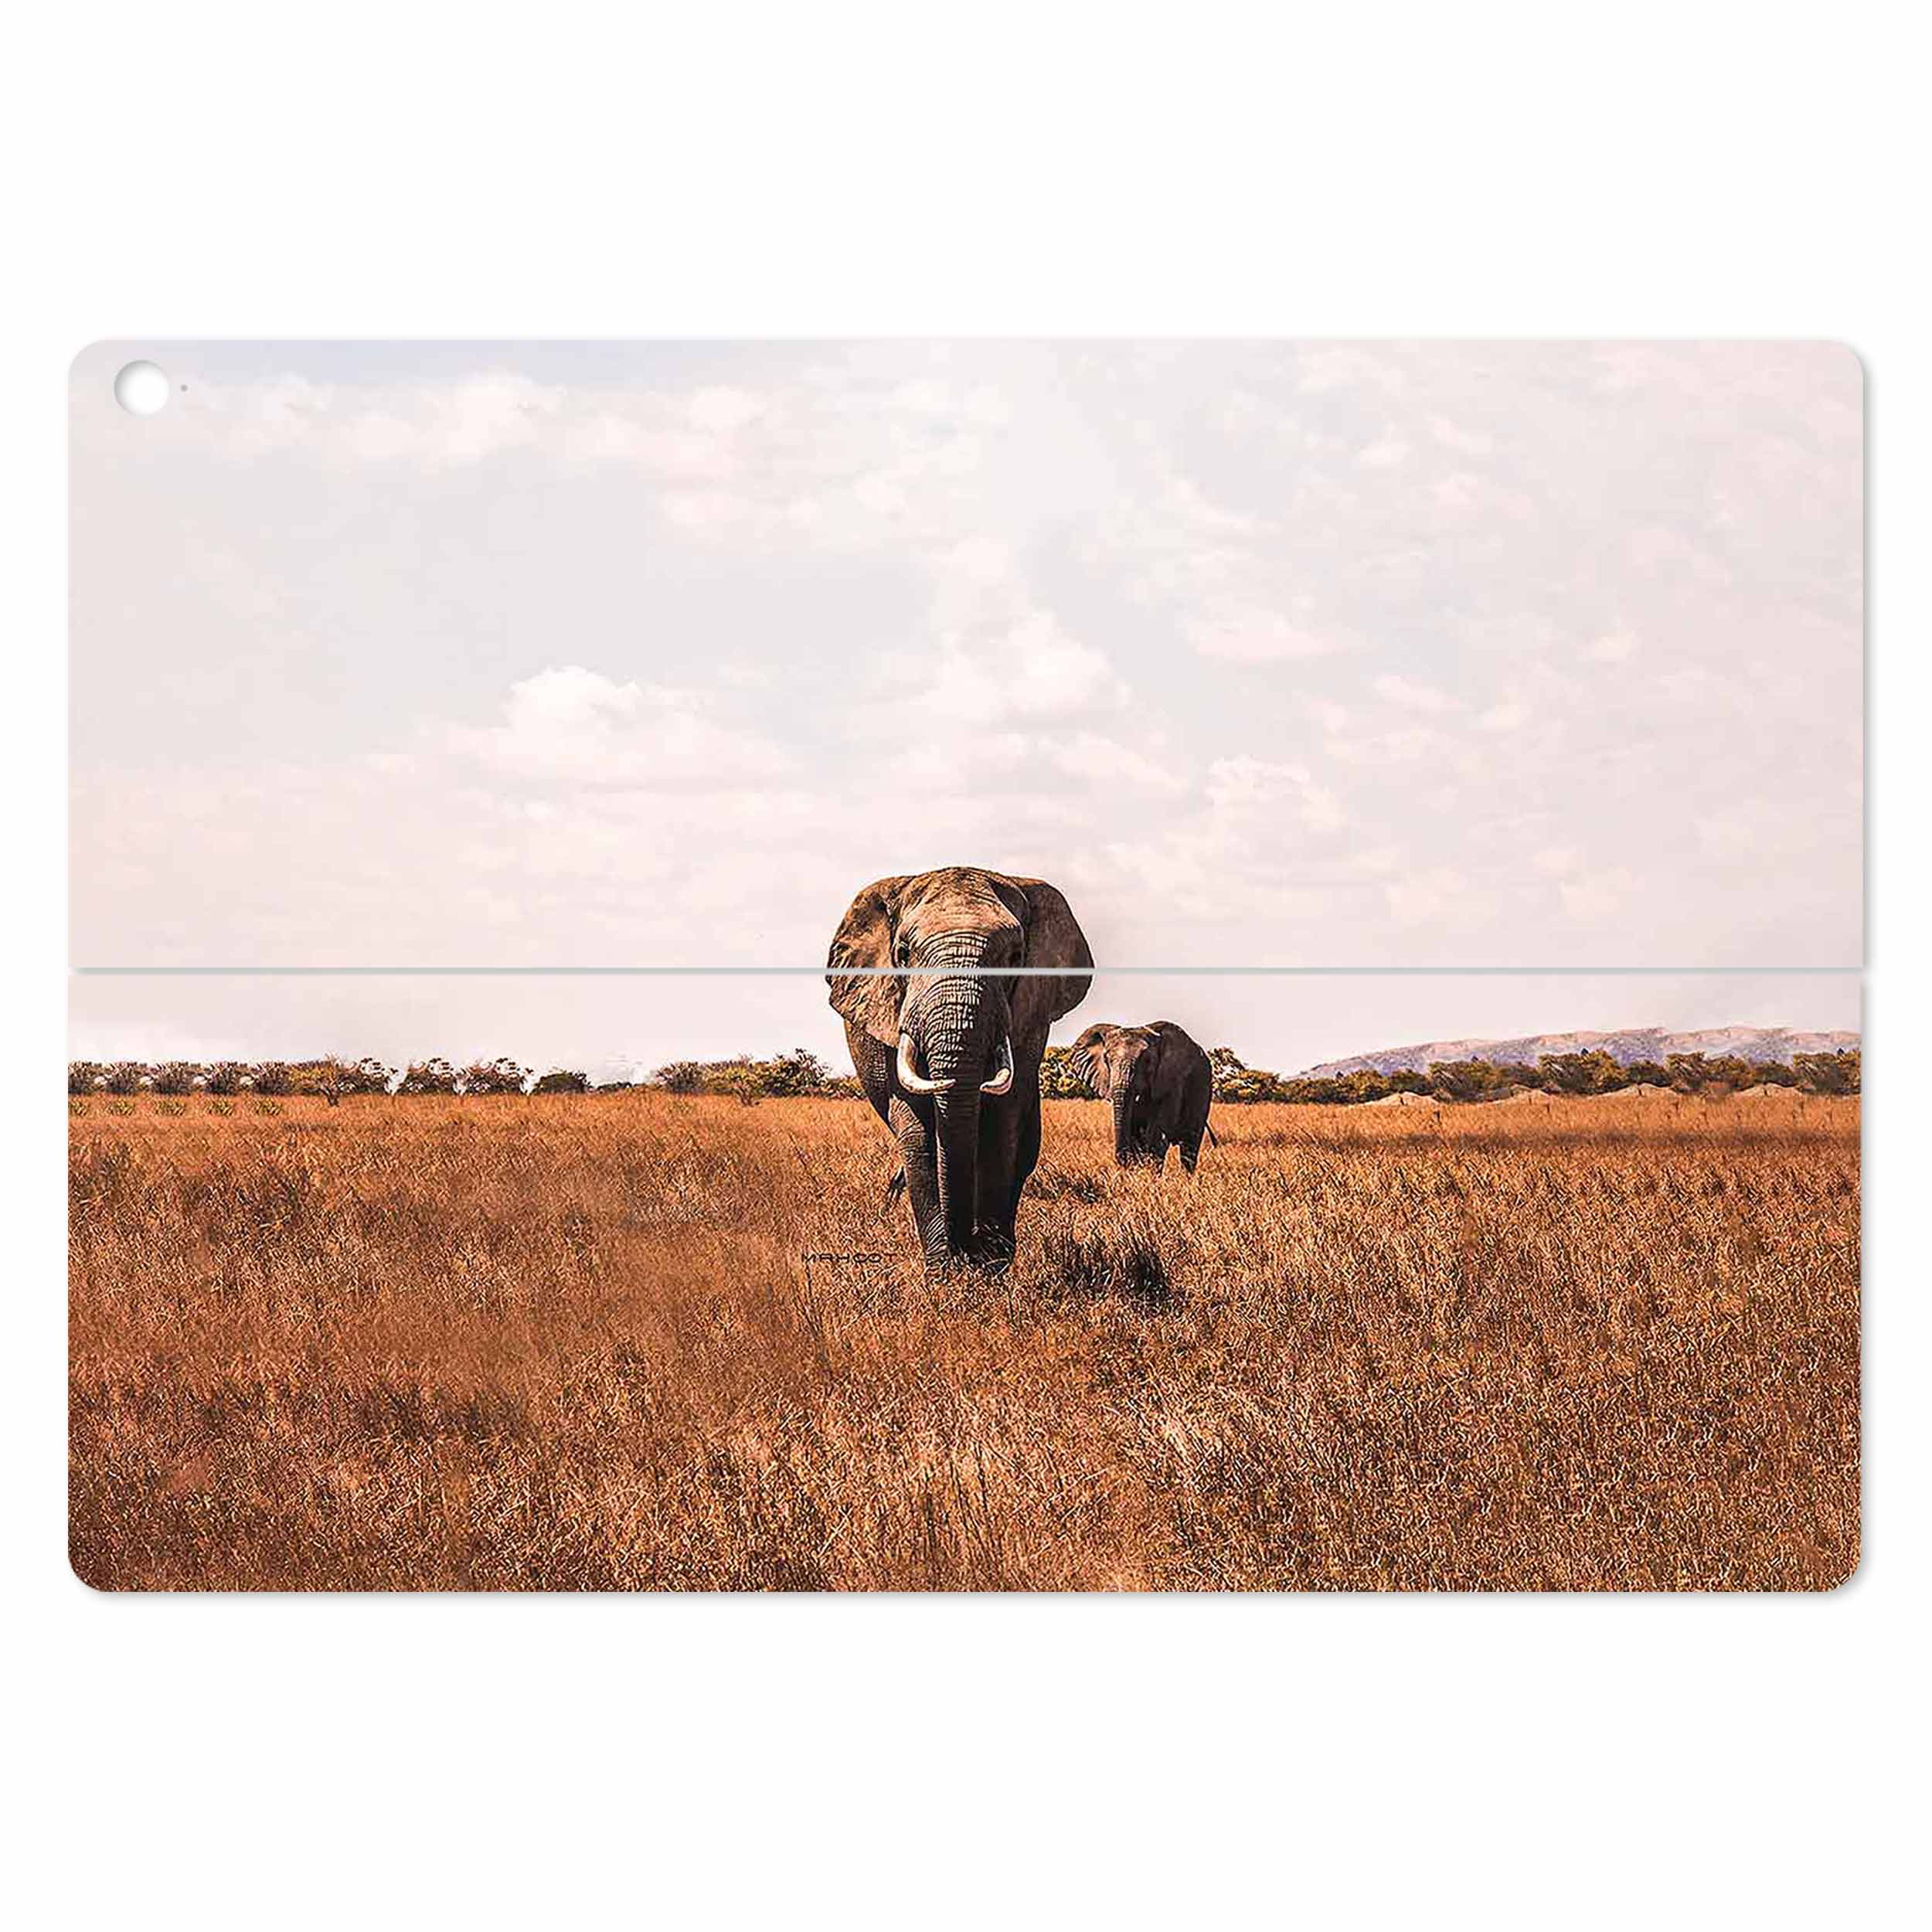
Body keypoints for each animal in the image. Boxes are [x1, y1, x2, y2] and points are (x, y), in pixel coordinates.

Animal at [827, 866, 1092, 1271]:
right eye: (903, 953)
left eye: (1016, 956)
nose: (965, 1250)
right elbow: (917, 1132)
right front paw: (944, 1274)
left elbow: (1003, 1123)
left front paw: (989, 1268)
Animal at [1070, 1020, 1216, 1172]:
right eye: (1106, 1060)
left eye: (1147, 1061)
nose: (1122, 1162)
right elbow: (1135, 1133)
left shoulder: (1173, 1080)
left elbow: (1157, 1135)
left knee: (1189, 1145)